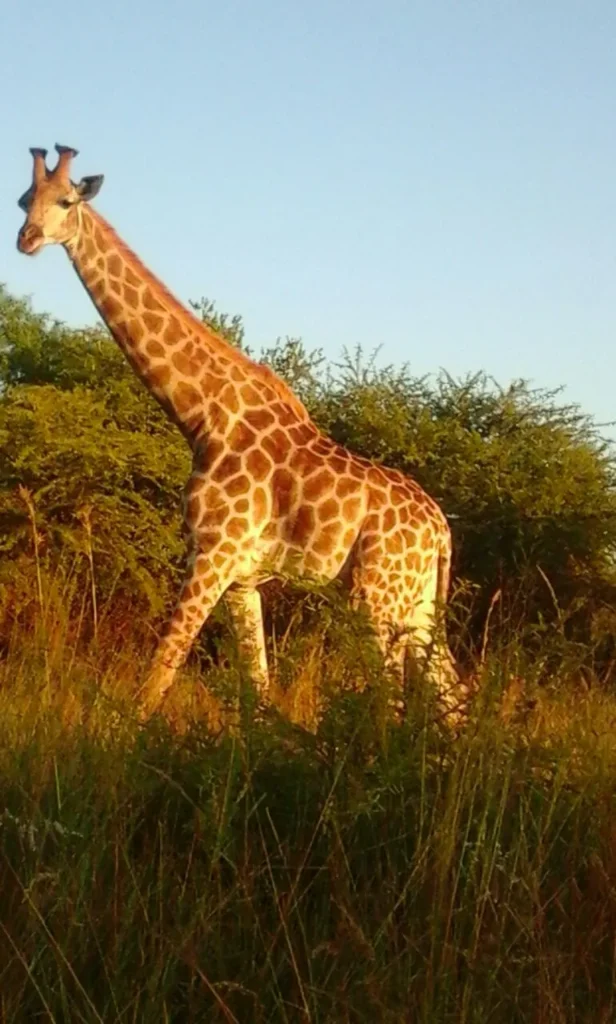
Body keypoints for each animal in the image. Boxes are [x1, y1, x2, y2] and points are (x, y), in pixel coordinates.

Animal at [16, 145, 465, 722]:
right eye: (24, 198)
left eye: (66, 201)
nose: (26, 238)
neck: (202, 416)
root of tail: (440, 529)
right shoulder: (243, 579)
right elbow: (257, 692)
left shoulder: (212, 553)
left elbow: (160, 671)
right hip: (416, 602)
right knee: (453, 693)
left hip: (376, 597)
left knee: (393, 699)